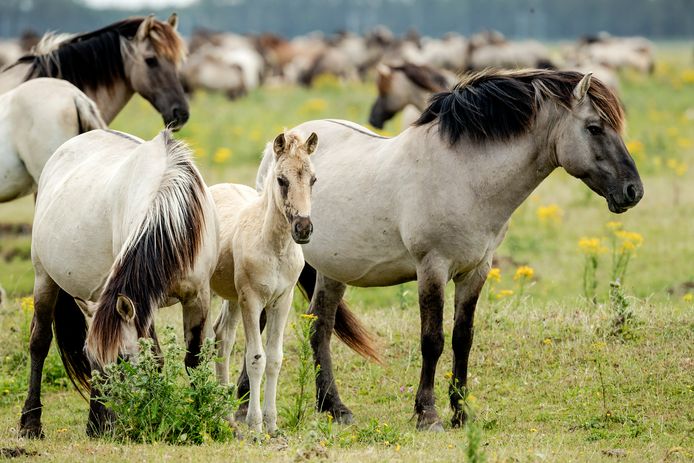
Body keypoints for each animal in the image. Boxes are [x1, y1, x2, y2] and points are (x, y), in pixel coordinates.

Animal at [21, 129, 218, 436]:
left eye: (123, 359)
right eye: (91, 360)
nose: (100, 428)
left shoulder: (199, 296)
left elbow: (193, 360)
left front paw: (198, 414)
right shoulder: (143, 303)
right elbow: (155, 359)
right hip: (44, 278)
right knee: (39, 341)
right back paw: (31, 423)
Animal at [213, 131, 320, 436]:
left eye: (313, 179)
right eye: (281, 180)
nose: (303, 229)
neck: (275, 247)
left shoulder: (281, 301)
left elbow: (274, 358)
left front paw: (272, 424)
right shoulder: (251, 300)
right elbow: (255, 359)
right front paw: (255, 424)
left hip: (231, 297)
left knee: (222, 338)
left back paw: (225, 416)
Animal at [251, 70, 648, 434]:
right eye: (594, 128)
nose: (634, 191)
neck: (464, 177)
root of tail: (279, 147)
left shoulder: (476, 270)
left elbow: (462, 338)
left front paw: (461, 413)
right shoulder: (433, 268)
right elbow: (433, 341)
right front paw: (427, 415)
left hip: (334, 270)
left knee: (320, 328)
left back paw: (334, 408)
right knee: (268, 323)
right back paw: (248, 404)